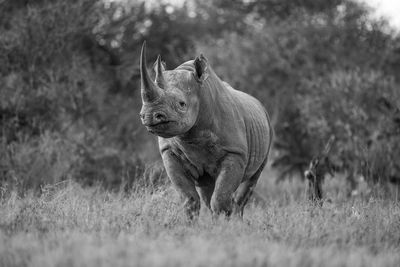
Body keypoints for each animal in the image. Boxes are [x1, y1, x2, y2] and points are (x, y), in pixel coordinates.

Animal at [139, 41, 274, 218]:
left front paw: (224, 223)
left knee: (250, 182)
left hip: (267, 128)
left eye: (182, 104)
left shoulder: (235, 152)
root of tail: (259, 104)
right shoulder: (169, 151)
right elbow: (189, 199)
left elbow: (221, 199)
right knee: (207, 190)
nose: (149, 116)